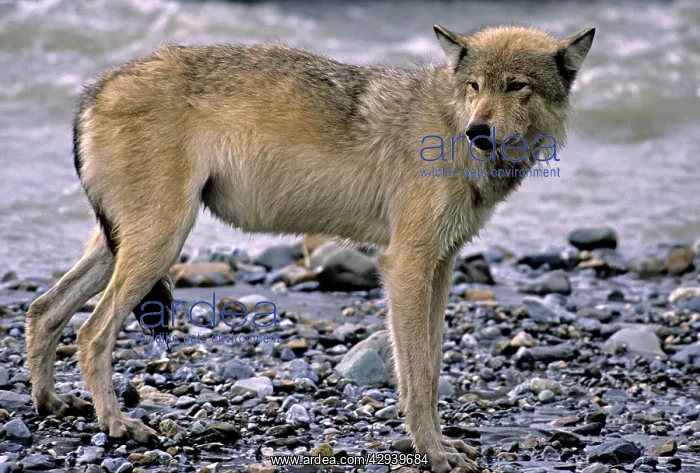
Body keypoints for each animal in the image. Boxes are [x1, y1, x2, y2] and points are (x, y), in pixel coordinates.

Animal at [26, 24, 594, 472]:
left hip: (127, 246)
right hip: (159, 244)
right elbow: (415, 379)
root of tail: (96, 88)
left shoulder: (441, 266)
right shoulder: (406, 265)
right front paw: (433, 453)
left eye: (516, 86)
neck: (448, 124)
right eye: (474, 86)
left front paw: (441, 444)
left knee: (42, 309)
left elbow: (431, 369)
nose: (479, 131)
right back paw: (119, 427)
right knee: (91, 334)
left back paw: (51, 404)